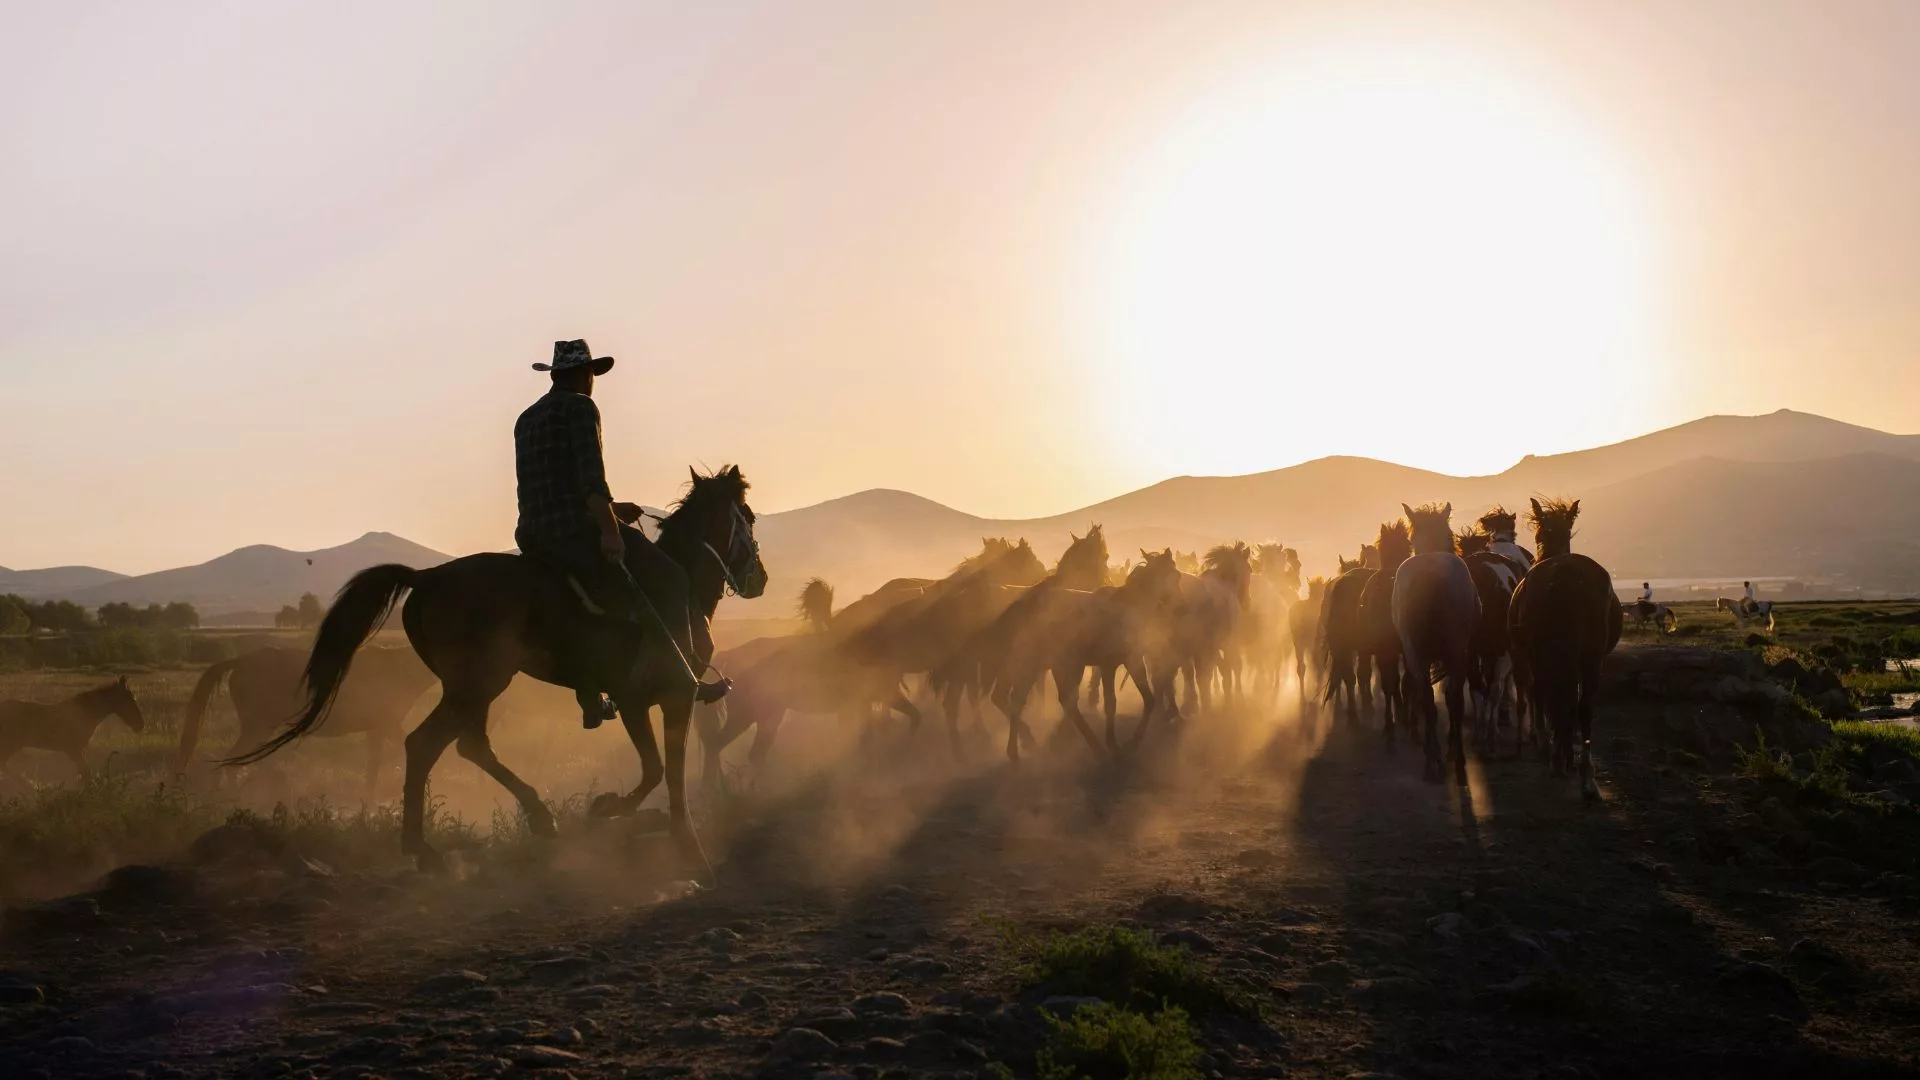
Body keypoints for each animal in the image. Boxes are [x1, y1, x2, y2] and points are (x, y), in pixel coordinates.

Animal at [0, 676, 143, 776]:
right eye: (130, 700)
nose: (140, 724)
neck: (85, 712)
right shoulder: (73, 750)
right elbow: (86, 773)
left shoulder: (79, 751)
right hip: (11, 745)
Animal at [177, 641, 435, 787]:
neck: (398, 669)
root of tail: (240, 661)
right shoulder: (387, 725)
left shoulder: (377, 730)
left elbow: (372, 771)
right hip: (257, 726)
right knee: (235, 761)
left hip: (260, 728)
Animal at [226, 463, 764, 876]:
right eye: (749, 518)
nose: (758, 579)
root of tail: (425, 578)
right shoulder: (660, 697)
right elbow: (662, 772)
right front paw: (668, 839)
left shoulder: (638, 701)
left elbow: (658, 770)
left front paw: (616, 815)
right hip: (479, 683)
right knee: (427, 744)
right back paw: (425, 849)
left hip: (472, 688)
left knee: (468, 745)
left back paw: (533, 818)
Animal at [1512, 495, 1620, 799]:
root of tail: (1564, 574)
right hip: (1590, 660)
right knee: (1582, 707)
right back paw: (1585, 775)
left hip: (1547, 656)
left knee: (1549, 696)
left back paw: (1559, 758)